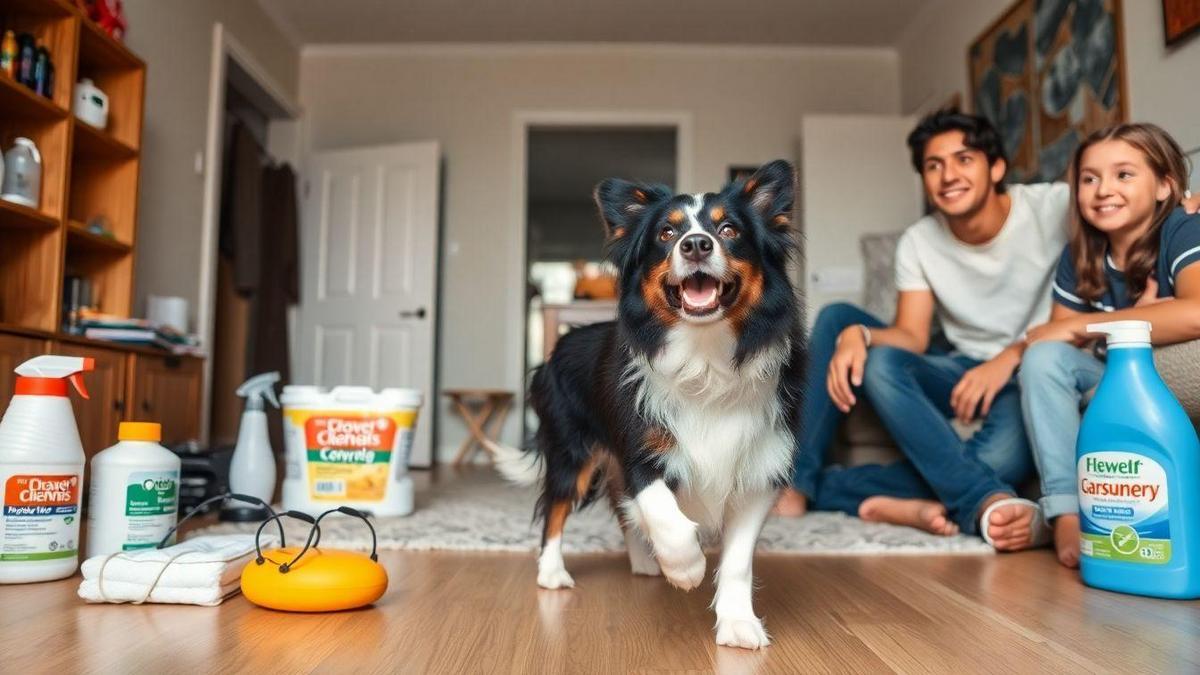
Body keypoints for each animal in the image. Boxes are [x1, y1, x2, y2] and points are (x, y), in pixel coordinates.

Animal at [492, 157, 801, 648]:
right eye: (667, 234)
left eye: (729, 230)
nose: (696, 244)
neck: (705, 355)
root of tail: (559, 347)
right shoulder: (640, 449)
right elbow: (661, 510)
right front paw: (686, 567)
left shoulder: (761, 466)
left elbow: (737, 561)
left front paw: (738, 623)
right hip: (571, 453)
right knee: (556, 510)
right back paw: (553, 574)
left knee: (622, 510)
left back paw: (643, 563)